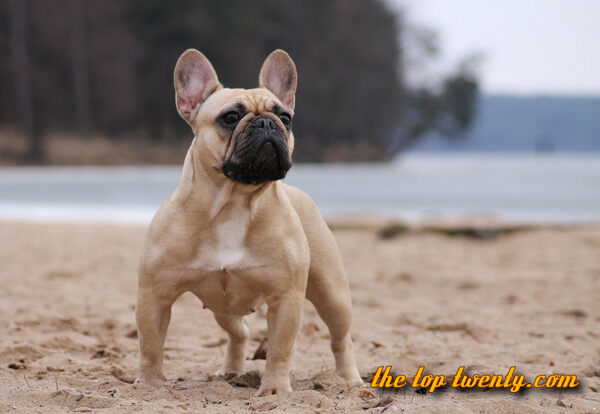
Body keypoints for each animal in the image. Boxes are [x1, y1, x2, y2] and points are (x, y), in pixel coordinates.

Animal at [136, 48, 360, 394]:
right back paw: (230, 371)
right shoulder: (154, 296)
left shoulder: (285, 298)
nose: (267, 123)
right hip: (222, 304)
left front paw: (275, 389)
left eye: (285, 117)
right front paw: (148, 385)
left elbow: (280, 349)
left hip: (331, 294)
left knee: (341, 338)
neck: (234, 202)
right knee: (238, 332)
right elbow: (150, 346)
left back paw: (349, 379)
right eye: (230, 117)